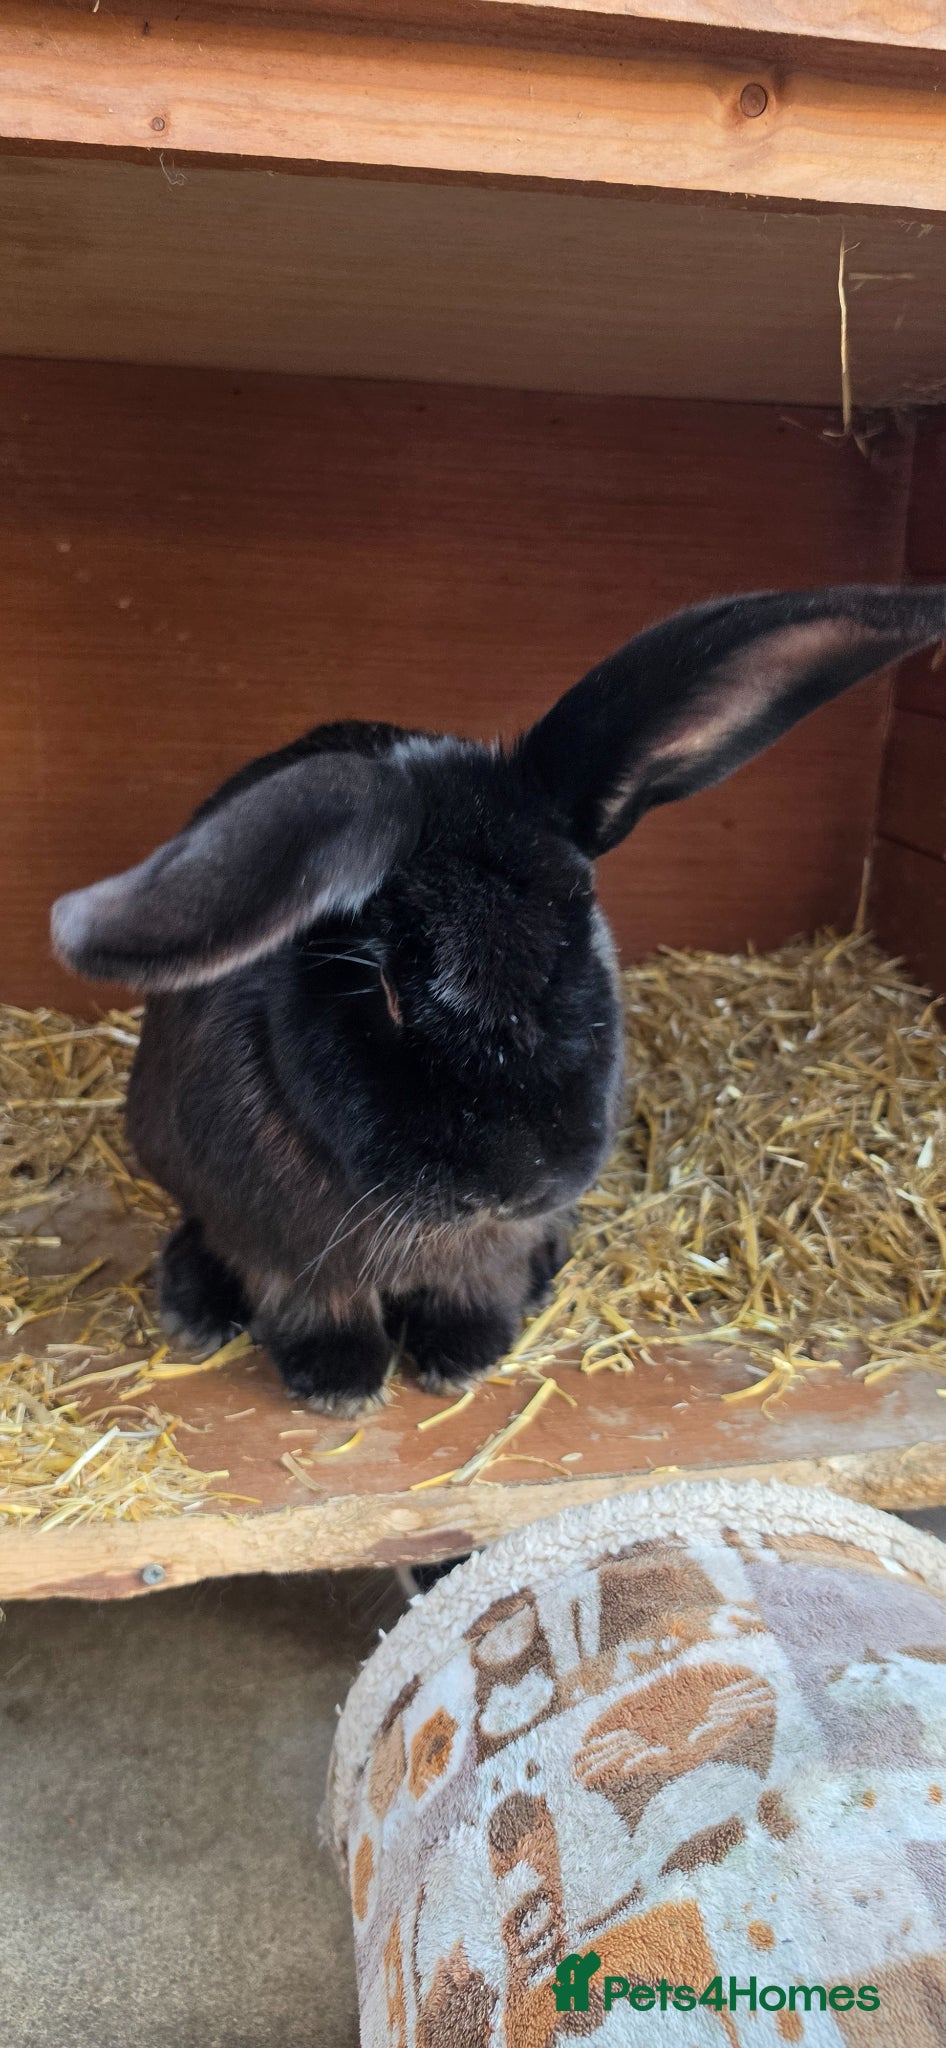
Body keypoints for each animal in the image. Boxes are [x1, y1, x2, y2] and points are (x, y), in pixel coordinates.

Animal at [51, 585, 946, 1415]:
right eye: (383, 985)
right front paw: (340, 1383)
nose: (520, 1183)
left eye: (582, 942)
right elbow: (319, 1303)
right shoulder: (284, 1250)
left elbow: (479, 1285)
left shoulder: (497, 1247)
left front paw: (464, 1357)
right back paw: (196, 1308)